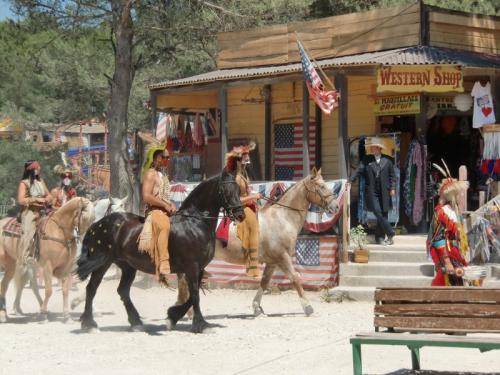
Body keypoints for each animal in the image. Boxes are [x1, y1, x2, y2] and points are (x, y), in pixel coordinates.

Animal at [75, 172, 244, 334]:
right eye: (226, 190)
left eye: (238, 189)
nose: (240, 214)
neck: (194, 222)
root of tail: (97, 224)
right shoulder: (192, 267)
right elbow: (195, 295)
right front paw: (201, 324)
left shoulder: (199, 268)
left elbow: (192, 296)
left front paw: (172, 316)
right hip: (103, 263)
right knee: (91, 288)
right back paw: (89, 324)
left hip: (128, 266)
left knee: (122, 291)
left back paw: (136, 323)